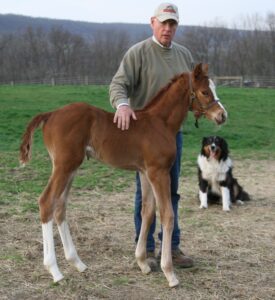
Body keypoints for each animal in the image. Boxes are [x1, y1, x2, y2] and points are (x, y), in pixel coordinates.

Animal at [20, 63, 229, 286]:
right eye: (205, 91)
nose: (222, 115)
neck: (160, 123)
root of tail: (50, 114)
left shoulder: (145, 172)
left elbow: (147, 211)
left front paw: (143, 263)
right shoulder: (158, 172)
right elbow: (167, 214)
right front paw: (169, 272)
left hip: (70, 168)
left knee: (60, 206)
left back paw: (77, 263)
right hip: (64, 166)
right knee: (46, 202)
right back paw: (55, 271)